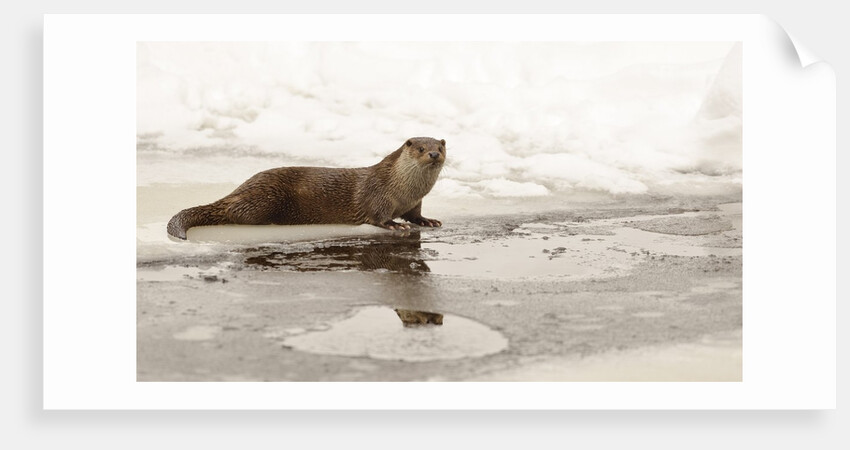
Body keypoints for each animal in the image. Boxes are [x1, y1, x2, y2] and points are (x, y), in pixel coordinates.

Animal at [167, 137, 446, 240]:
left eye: (441, 147)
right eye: (421, 148)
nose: (433, 154)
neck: (403, 190)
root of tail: (239, 189)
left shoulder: (414, 202)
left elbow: (416, 215)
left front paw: (428, 221)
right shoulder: (377, 195)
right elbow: (378, 217)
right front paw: (395, 225)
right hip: (265, 197)